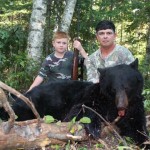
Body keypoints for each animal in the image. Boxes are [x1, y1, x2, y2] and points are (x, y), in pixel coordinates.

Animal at [0, 59, 148, 146]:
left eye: (127, 87)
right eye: (113, 88)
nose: (121, 106)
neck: (111, 104)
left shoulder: (135, 107)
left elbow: (138, 125)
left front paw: (144, 140)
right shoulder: (89, 96)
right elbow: (77, 112)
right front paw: (94, 128)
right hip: (32, 104)